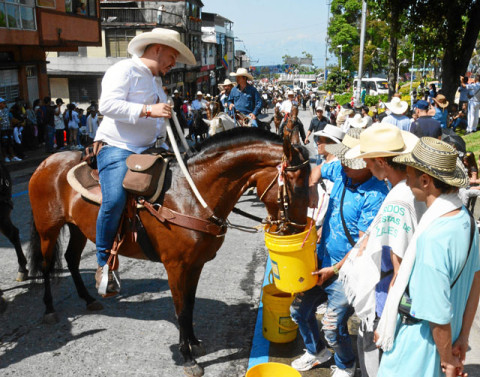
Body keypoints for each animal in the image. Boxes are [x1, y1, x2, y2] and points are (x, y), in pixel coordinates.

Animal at [27, 127, 312, 376]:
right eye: (297, 186)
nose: (295, 230)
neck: (191, 194)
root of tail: (47, 162)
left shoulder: (196, 264)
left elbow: (190, 303)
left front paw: (194, 342)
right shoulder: (176, 266)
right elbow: (181, 310)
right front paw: (188, 357)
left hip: (77, 228)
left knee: (71, 259)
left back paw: (88, 298)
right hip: (47, 230)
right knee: (46, 266)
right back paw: (49, 309)